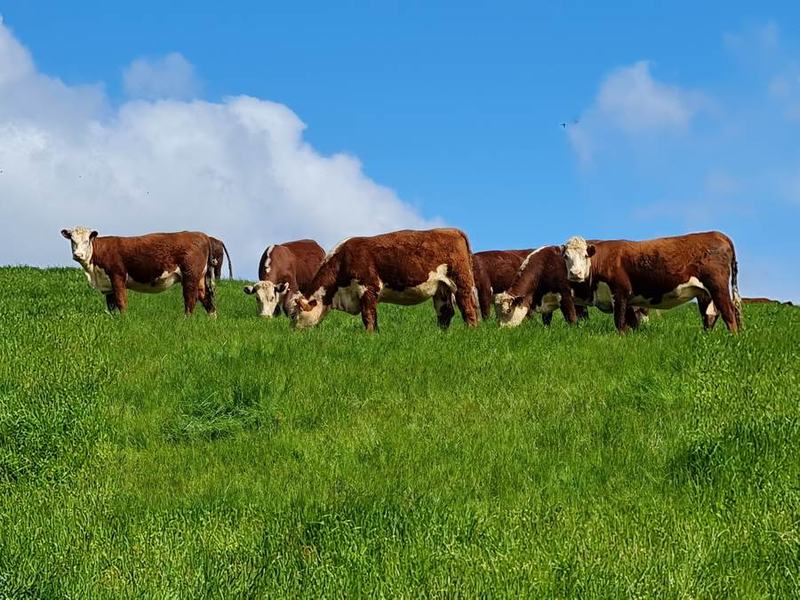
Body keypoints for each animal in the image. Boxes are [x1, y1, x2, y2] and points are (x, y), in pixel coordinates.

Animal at [60, 227, 217, 315]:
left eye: (87, 240)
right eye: (72, 240)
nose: (78, 255)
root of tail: (202, 235)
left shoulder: (117, 276)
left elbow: (121, 302)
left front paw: (124, 321)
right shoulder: (107, 285)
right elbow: (111, 306)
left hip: (190, 276)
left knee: (190, 300)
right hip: (200, 278)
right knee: (207, 300)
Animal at [291, 228, 479, 332]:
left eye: (294, 315)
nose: (292, 333)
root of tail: (453, 230)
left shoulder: (368, 288)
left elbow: (368, 315)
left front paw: (369, 335)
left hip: (460, 281)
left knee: (468, 308)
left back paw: (471, 330)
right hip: (441, 288)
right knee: (445, 312)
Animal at [560, 231, 741, 333]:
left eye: (585, 256)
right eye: (566, 257)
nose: (575, 273)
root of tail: (718, 234)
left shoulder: (620, 293)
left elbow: (619, 323)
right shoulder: (629, 301)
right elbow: (632, 324)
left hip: (718, 287)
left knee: (729, 313)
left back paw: (733, 337)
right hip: (705, 293)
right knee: (712, 315)